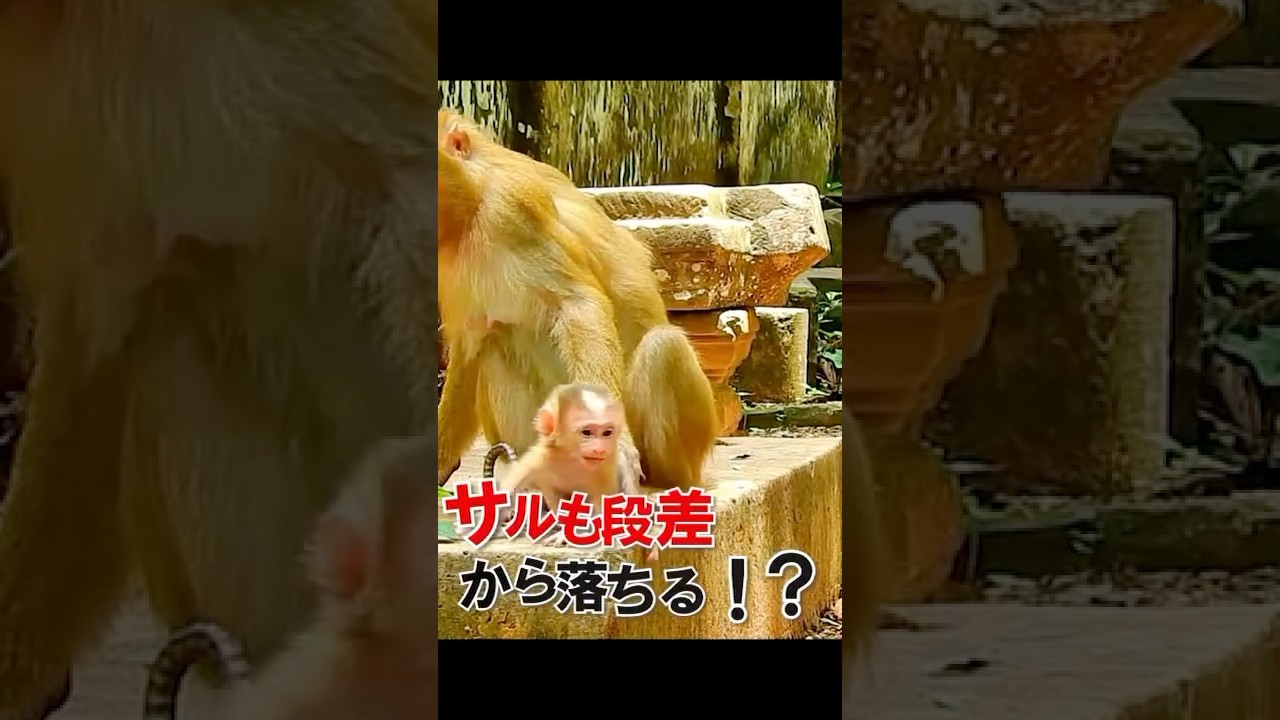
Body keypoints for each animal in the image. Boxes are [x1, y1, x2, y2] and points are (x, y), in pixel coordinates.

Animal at [436, 109, 720, 496]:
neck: (470, 210)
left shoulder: (514, 207)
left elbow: (578, 304)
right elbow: (470, 342)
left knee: (664, 346)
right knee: (497, 342)